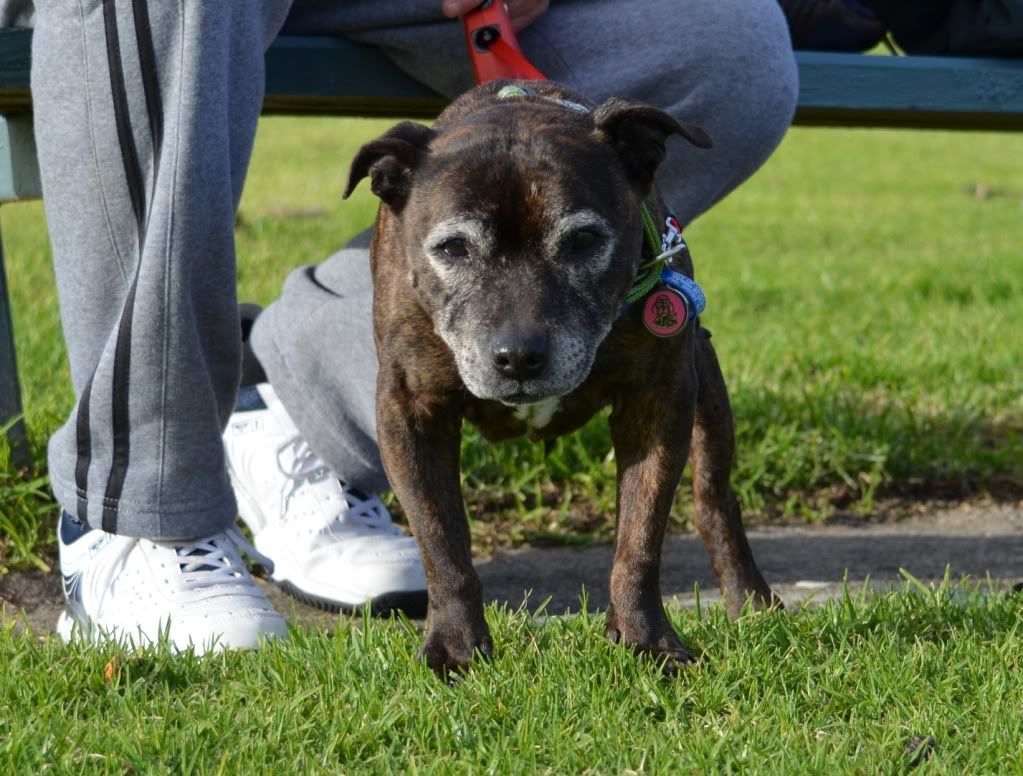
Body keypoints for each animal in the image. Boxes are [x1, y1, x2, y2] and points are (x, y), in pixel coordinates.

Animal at [343, 77, 773, 674]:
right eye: (452, 247)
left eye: (584, 241)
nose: (519, 355)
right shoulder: (411, 411)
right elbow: (441, 541)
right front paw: (455, 648)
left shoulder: (658, 400)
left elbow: (639, 538)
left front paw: (645, 640)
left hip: (706, 393)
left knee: (713, 499)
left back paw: (750, 600)